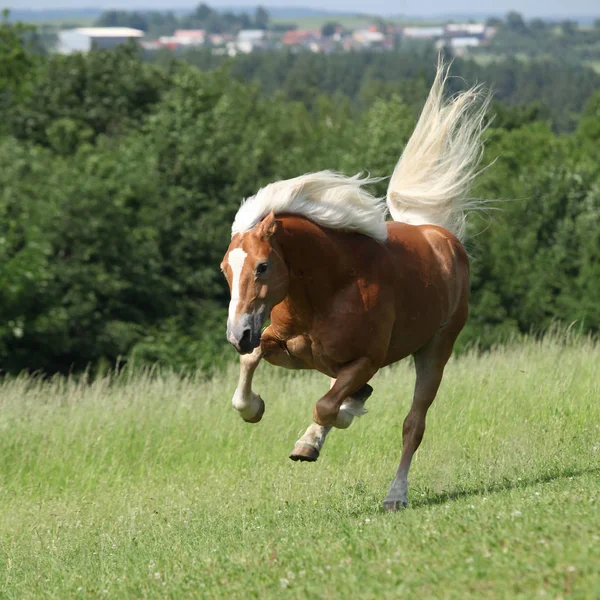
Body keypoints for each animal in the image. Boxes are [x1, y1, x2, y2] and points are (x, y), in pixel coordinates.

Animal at [220, 62, 492, 510]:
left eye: (262, 266)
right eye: (226, 268)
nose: (237, 334)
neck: (329, 289)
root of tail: (439, 236)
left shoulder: (366, 359)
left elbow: (327, 406)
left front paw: (322, 431)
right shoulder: (289, 349)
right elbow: (252, 368)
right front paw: (255, 409)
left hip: (435, 350)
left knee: (413, 424)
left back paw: (395, 495)